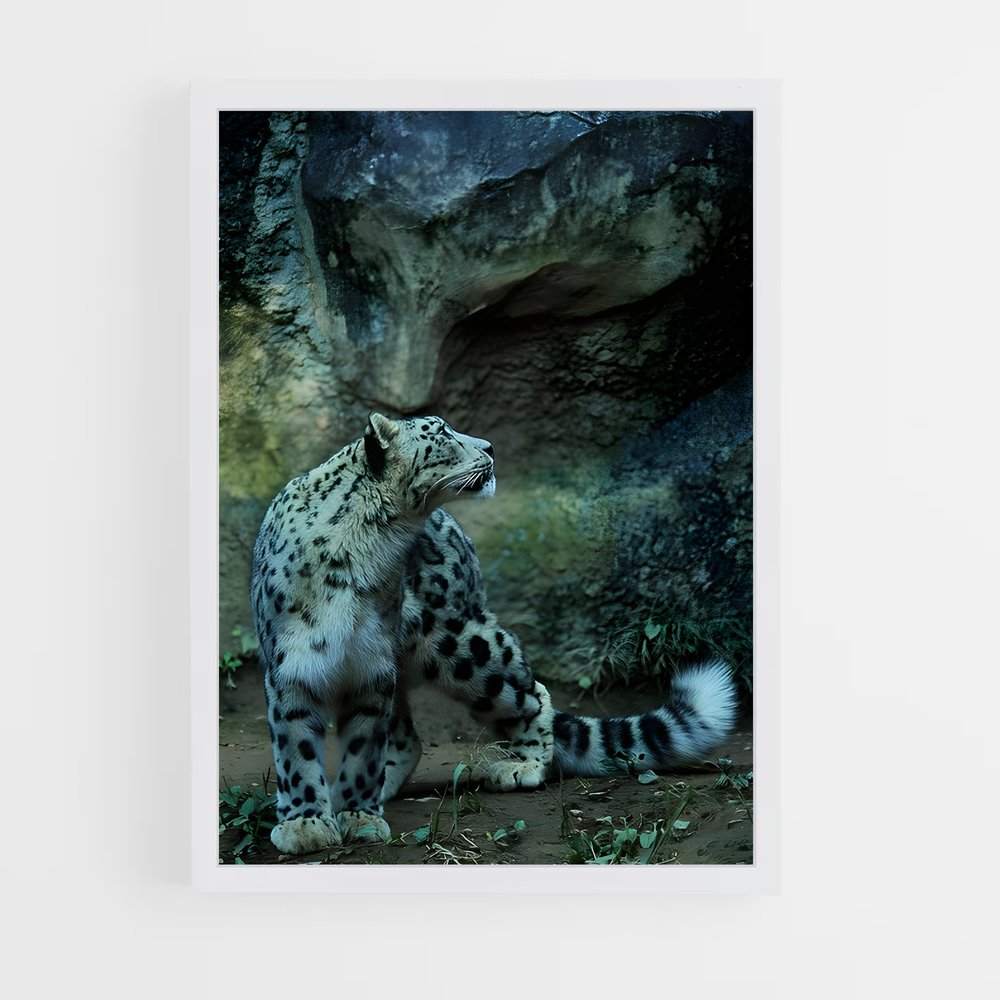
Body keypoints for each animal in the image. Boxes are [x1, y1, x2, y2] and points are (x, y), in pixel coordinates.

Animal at [250, 412, 738, 855]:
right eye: (442, 432)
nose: (488, 446)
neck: (367, 549)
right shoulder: (295, 665)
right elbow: (297, 749)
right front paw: (308, 823)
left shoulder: (370, 668)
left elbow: (363, 747)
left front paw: (356, 815)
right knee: (407, 733)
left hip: (460, 645)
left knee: (530, 691)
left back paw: (523, 765)